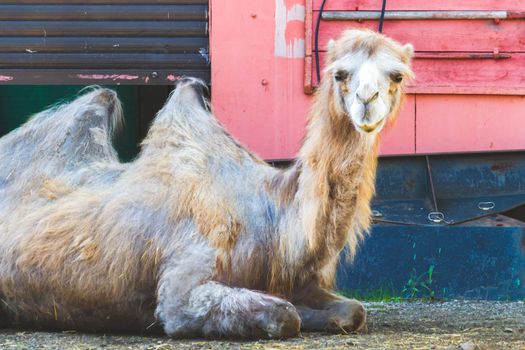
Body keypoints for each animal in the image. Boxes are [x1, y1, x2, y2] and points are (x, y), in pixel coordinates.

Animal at [0, 30, 414, 340]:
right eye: (339, 74)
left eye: (396, 76)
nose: (366, 101)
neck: (277, 221)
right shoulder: (184, 282)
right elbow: (284, 316)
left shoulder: (295, 281)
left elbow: (353, 311)